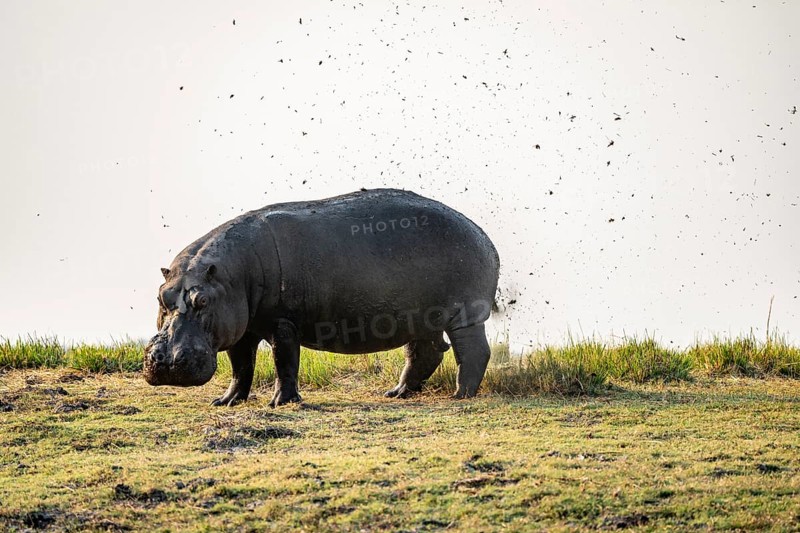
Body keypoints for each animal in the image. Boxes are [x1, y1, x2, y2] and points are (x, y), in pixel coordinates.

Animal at [144, 188, 500, 407]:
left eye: (202, 301)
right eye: (161, 297)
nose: (167, 362)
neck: (231, 274)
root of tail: (482, 234)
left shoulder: (283, 323)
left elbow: (284, 362)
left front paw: (281, 403)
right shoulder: (241, 328)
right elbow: (241, 367)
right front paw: (227, 401)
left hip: (465, 315)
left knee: (473, 352)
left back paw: (460, 395)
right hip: (421, 317)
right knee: (425, 353)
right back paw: (396, 394)